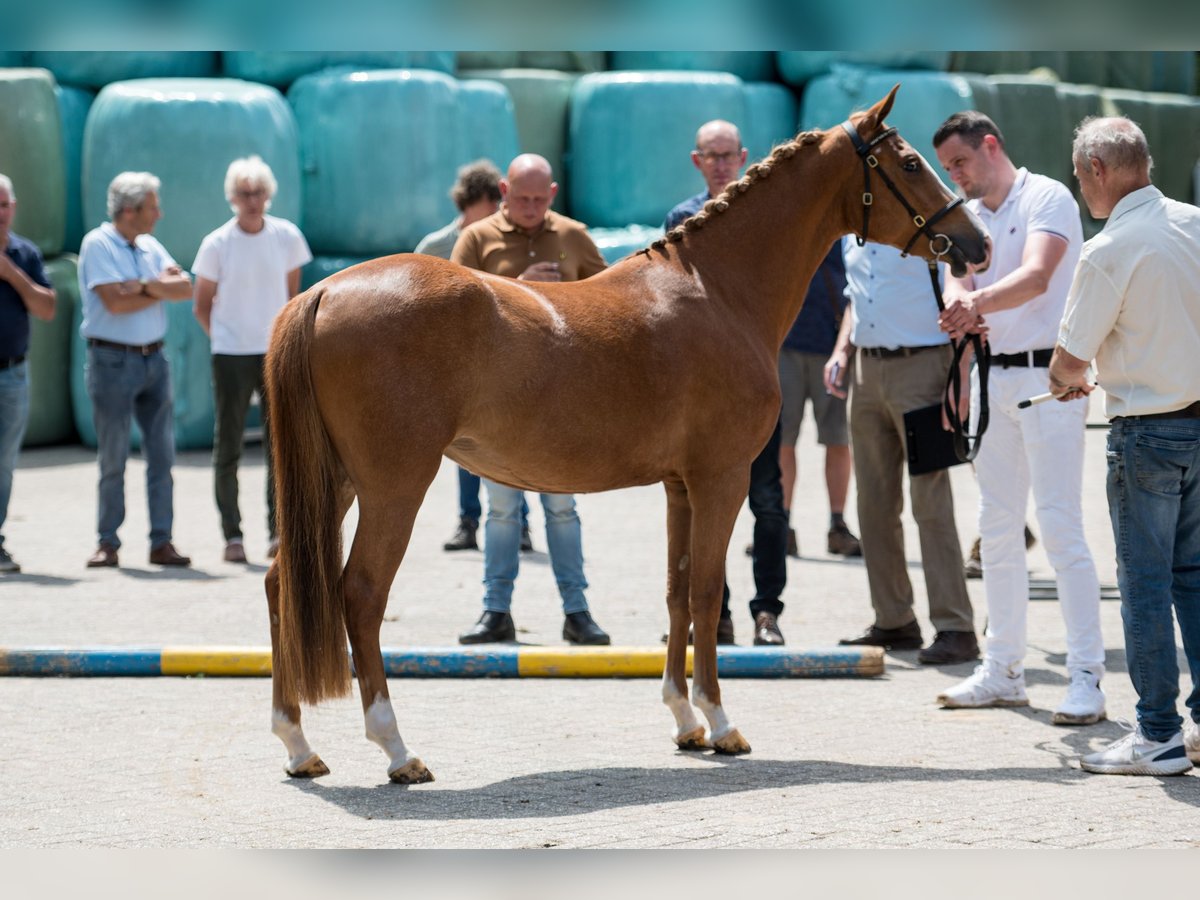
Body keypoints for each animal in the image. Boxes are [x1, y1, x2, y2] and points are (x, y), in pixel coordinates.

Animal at [267, 88, 988, 787]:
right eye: (911, 164)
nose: (974, 242)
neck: (717, 291)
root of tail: (324, 292)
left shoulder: (678, 486)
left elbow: (676, 591)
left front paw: (685, 721)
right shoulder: (721, 477)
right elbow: (707, 591)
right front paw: (721, 724)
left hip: (336, 484)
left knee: (280, 583)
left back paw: (299, 745)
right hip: (394, 486)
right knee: (361, 593)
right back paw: (397, 751)